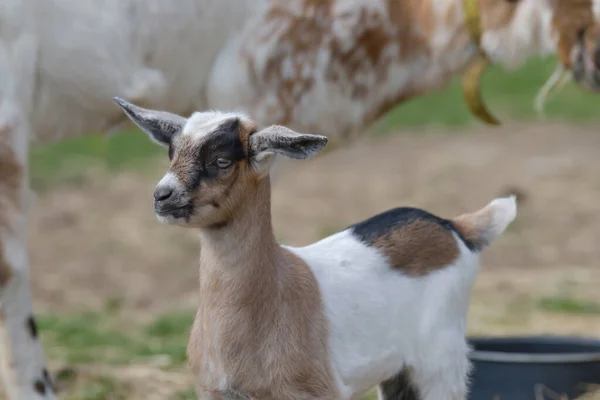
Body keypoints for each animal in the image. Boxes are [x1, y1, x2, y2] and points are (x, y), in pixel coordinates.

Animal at [115, 97, 516, 400]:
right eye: (171, 153)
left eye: (222, 160)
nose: (162, 196)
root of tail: (454, 226)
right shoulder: (215, 393)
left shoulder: (316, 390)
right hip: (400, 372)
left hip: (440, 360)